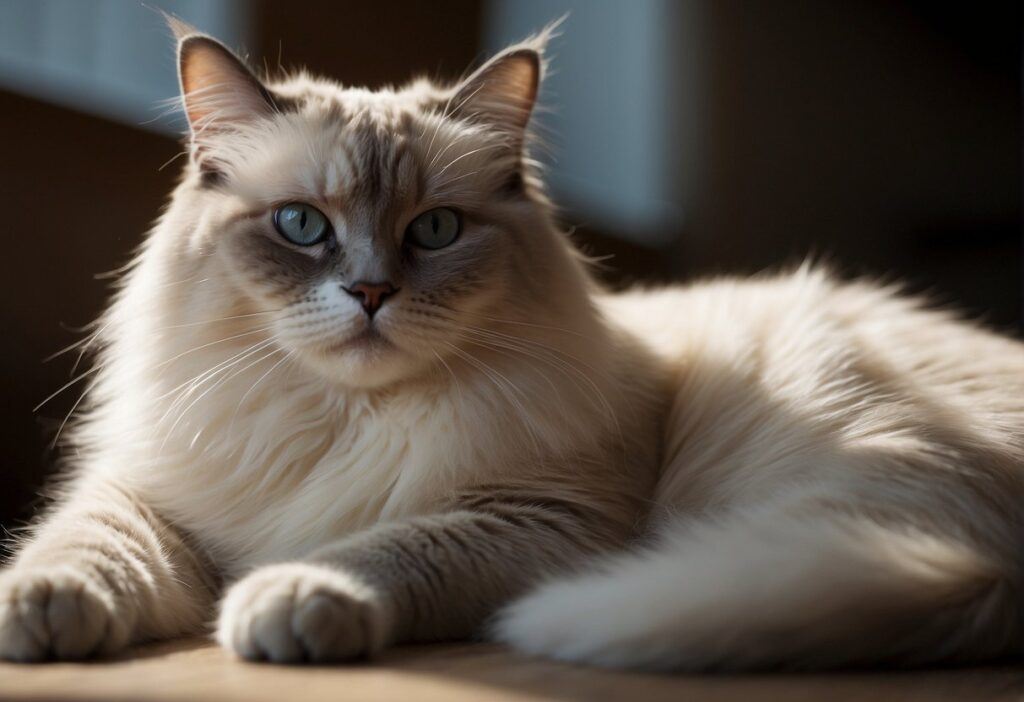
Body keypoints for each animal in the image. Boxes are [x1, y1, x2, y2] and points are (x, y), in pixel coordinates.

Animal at [0, 19, 1019, 675]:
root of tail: (995, 572)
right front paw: (39, 610)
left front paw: (286, 598)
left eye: (436, 230)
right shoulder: (156, 497)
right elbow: (86, 547)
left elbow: (381, 547)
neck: (344, 420)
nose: (371, 293)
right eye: (301, 226)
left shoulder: (535, 517)